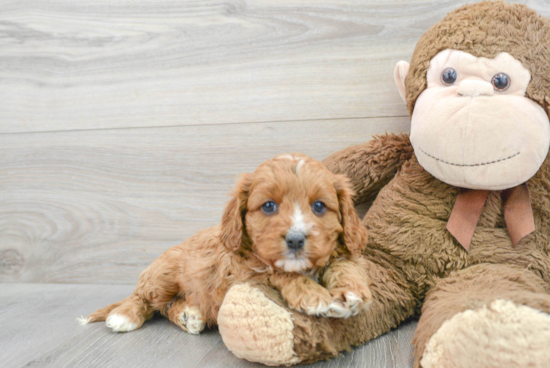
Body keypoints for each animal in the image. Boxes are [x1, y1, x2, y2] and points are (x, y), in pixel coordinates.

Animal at [78, 154, 370, 334]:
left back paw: (189, 316)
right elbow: (275, 272)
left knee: (165, 307)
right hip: (163, 274)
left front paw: (352, 292)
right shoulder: (241, 273)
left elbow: (344, 264)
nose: (296, 239)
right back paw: (125, 316)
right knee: (144, 299)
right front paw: (312, 294)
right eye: (268, 206)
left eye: (319, 206)